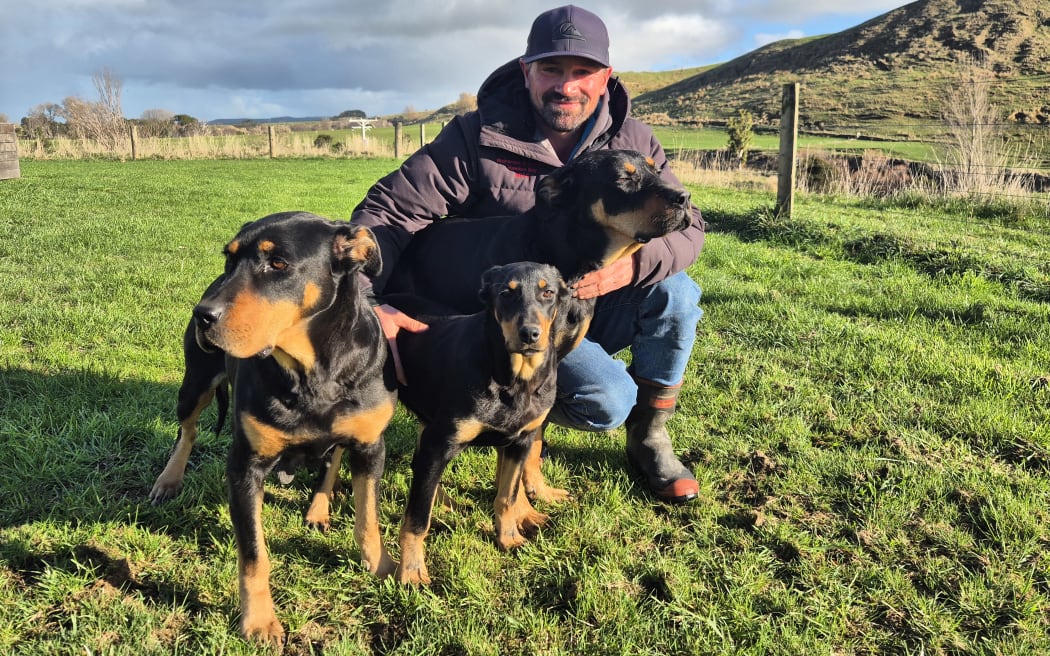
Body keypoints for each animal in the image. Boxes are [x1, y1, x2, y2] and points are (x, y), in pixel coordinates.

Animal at [178, 210, 394, 646]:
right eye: (229, 259)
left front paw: (382, 567)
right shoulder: (245, 465)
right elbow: (254, 554)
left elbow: (368, 518)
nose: (202, 315)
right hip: (195, 380)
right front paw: (259, 621)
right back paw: (167, 481)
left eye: (277, 263)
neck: (313, 370)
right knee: (186, 431)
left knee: (331, 460)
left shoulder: (370, 446)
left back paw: (318, 507)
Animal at [384, 261, 571, 583]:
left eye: (548, 292)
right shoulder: (441, 444)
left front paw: (508, 539)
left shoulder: (519, 441)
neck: (513, 379)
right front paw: (411, 572)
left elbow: (507, 496)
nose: (530, 335)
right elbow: (417, 519)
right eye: (505, 293)